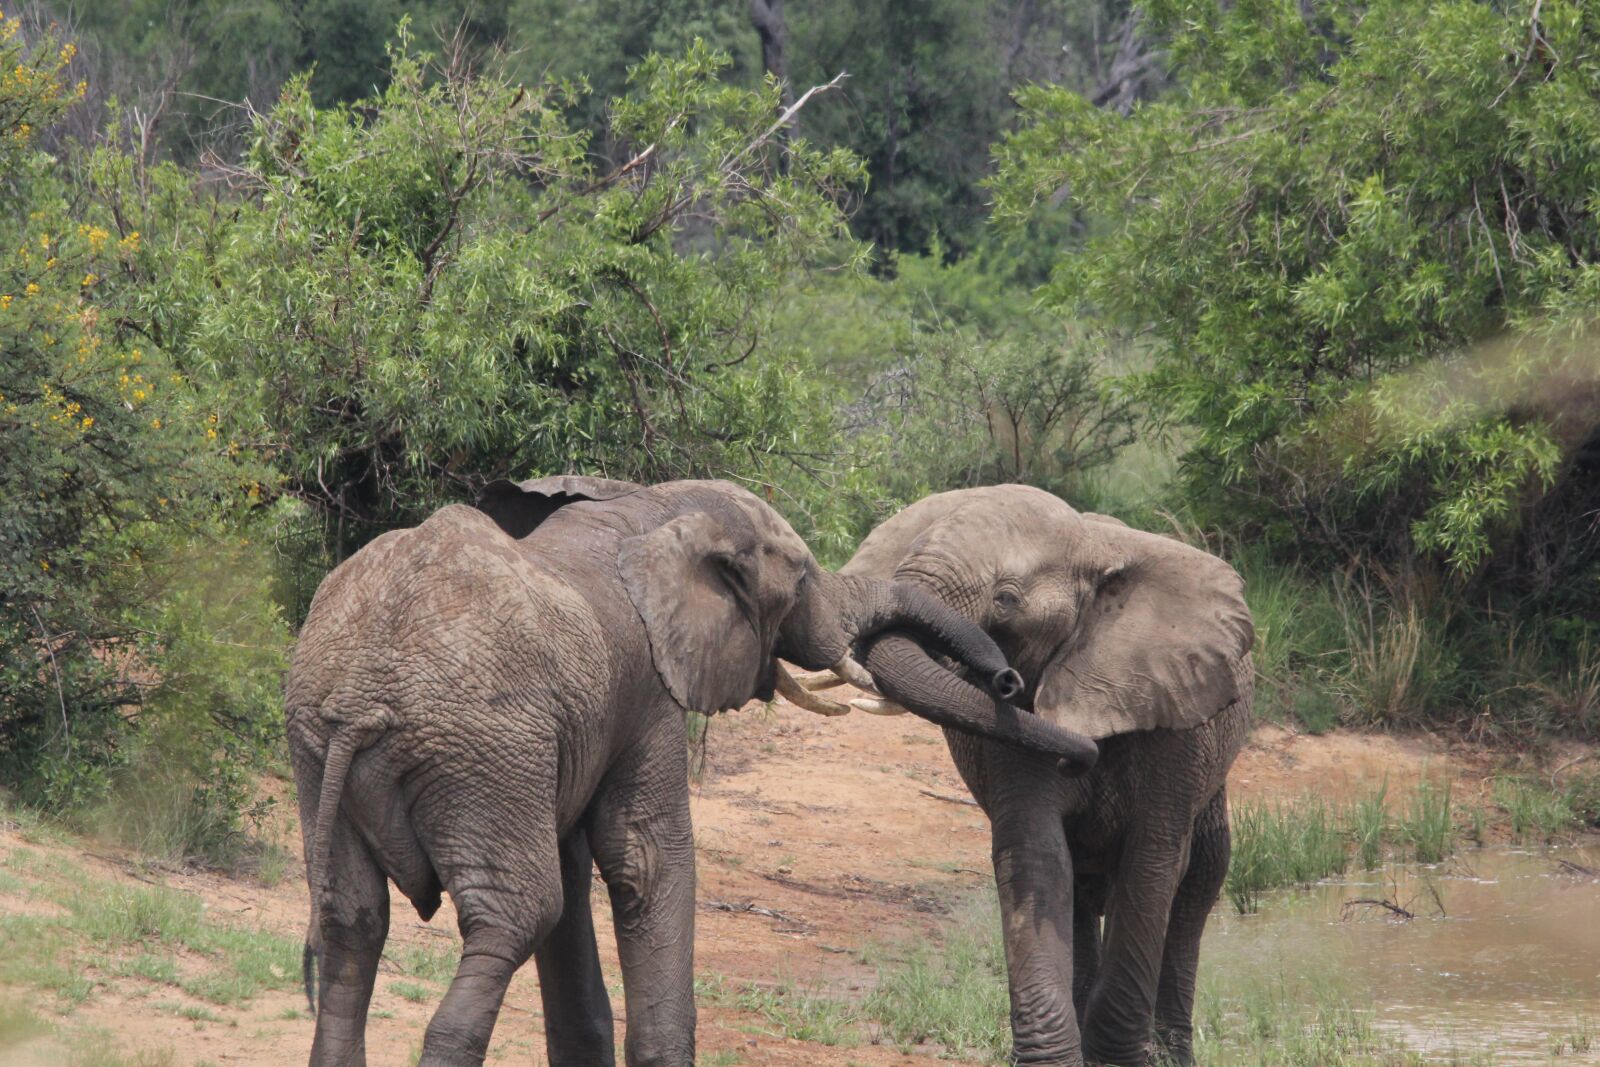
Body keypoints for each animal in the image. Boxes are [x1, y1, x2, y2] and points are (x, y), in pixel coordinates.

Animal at [285, 476, 1100, 1067]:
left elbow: (584, 863)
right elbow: (644, 860)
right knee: (514, 914)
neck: (655, 506)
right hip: (476, 745)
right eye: (800, 581)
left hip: (322, 744)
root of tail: (362, 697)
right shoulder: (648, 686)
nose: (1009, 683)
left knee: (353, 920)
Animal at [837, 484, 1254, 1067]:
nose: (1004, 680)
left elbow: (1151, 865)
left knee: (1202, 878)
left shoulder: (1175, 728)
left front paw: (1119, 1060)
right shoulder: (1009, 730)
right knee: (1079, 885)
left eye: (1006, 599)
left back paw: (1173, 1054)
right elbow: (1037, 857)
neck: (1094, 548)